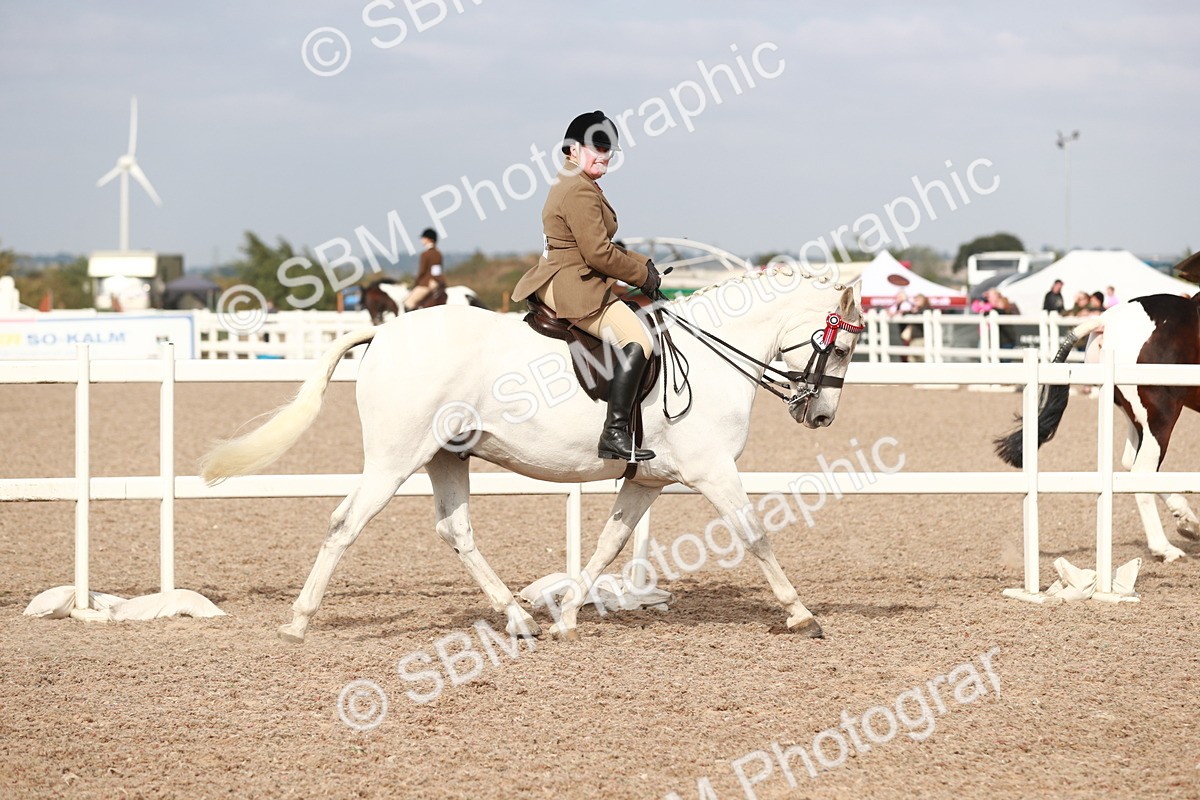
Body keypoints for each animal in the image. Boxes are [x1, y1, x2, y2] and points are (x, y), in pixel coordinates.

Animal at [200, 266, 864, 643]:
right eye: (840, 346)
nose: (821, 416)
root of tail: (385, 332)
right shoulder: (713, 471)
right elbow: (757, 536)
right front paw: (802, 615)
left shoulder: (647, 479)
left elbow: (608, 544)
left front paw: (568, 617)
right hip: (394, 459)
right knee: (346, 524)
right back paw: (298, 621)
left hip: (446, 455)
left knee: (456, 531)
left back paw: (519, 620)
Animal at [994, 293, 1200, 562]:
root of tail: (1106, 321)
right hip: (1161, 415)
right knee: (1142, 471)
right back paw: (1166, 547)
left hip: (1135, 417)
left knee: (1133, 464)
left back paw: (1188, 520)